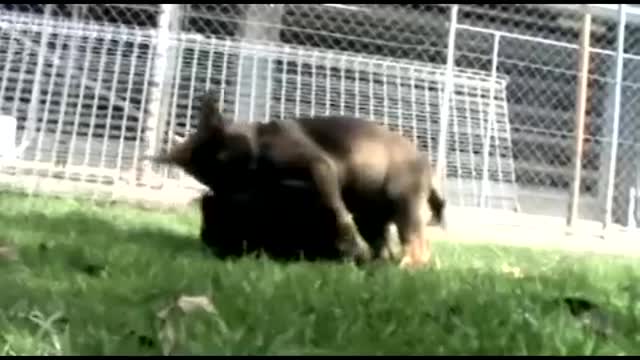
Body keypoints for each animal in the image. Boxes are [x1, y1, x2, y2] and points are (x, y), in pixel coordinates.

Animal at [155, 91, 444, 268]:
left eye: (231, 161)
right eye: (218, 180)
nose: (221, 196)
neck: (260, 140)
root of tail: (425, 162)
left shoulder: (320, 168)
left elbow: (337, 211)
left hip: (403, 202)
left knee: (416, 242)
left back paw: (409, 264)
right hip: (371, 215)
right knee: (382, 241)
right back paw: (379, 261)